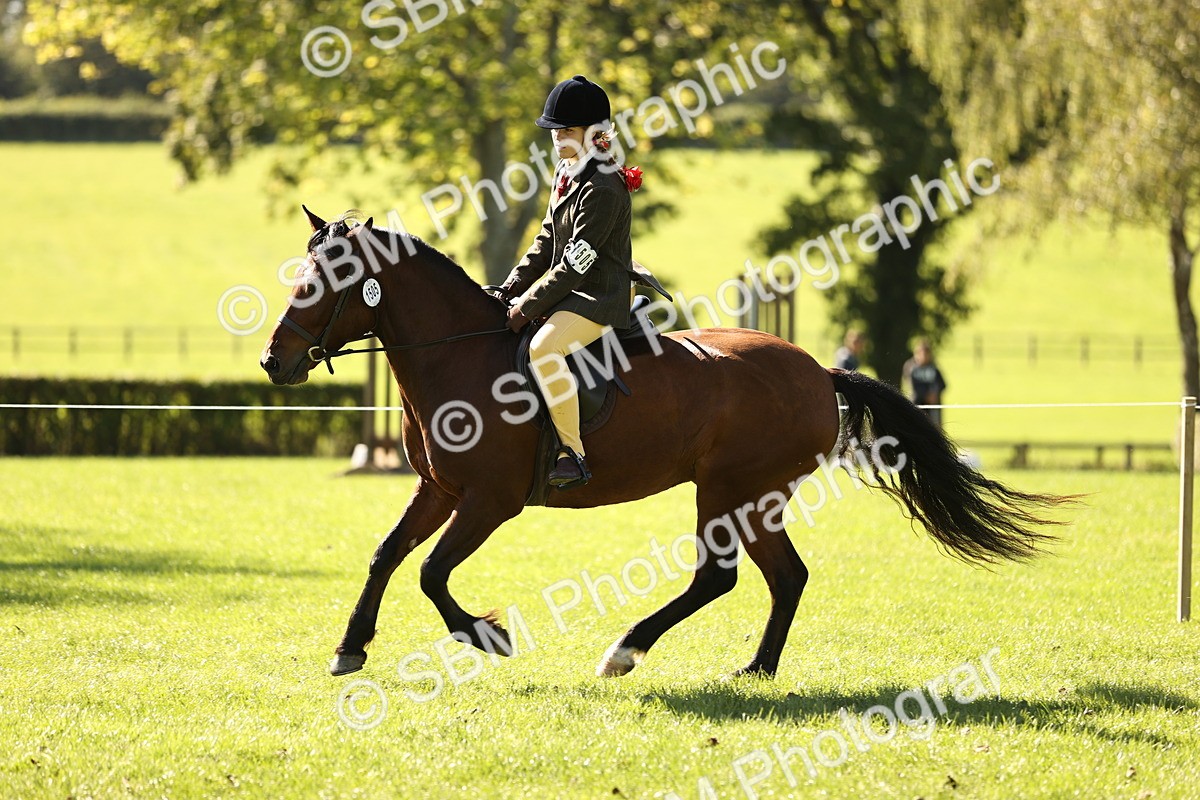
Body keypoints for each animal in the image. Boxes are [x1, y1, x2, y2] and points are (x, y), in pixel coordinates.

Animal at [260, 208, 1072, 679]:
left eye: (324, 281)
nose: (273, 361)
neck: (461, 357)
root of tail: (818, 370)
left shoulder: (490, 501)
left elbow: (431, 573)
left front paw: (486, 637)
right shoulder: (439, 490)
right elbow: (386, 555)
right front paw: (350, 646)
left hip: (731, 489)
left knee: (724, 576)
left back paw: (627, 651)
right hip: (750, 496)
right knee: (783, 577)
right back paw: (754, 668)